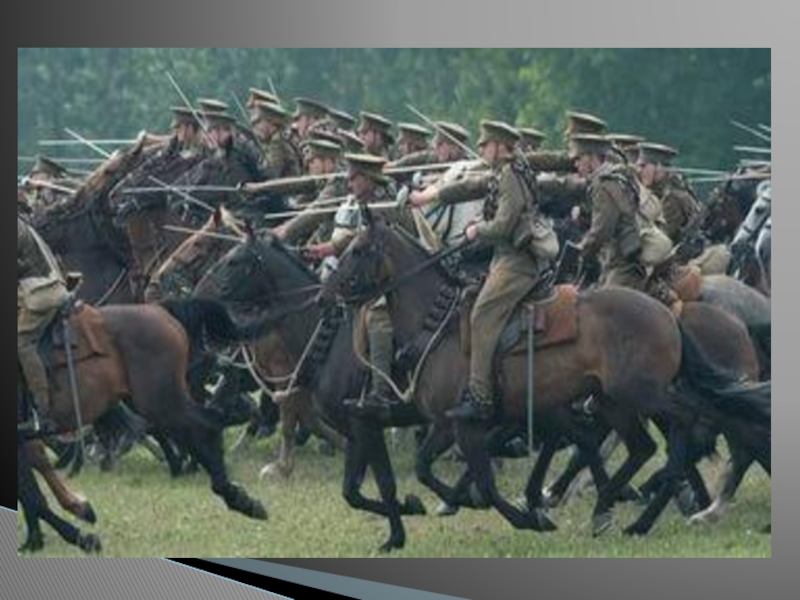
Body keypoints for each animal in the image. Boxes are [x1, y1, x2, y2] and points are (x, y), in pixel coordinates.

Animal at [318, 213, 769, 541]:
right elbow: (430, 469)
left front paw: (524, 516)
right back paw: (621, 510)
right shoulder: (455, 424)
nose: (326, 293)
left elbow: (475, 480)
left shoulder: (463, 424)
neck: (436, 325)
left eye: (358, 249)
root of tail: (668, 314)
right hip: (615, 402)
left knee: (691, 430)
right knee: (648, 446)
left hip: (644, 396)